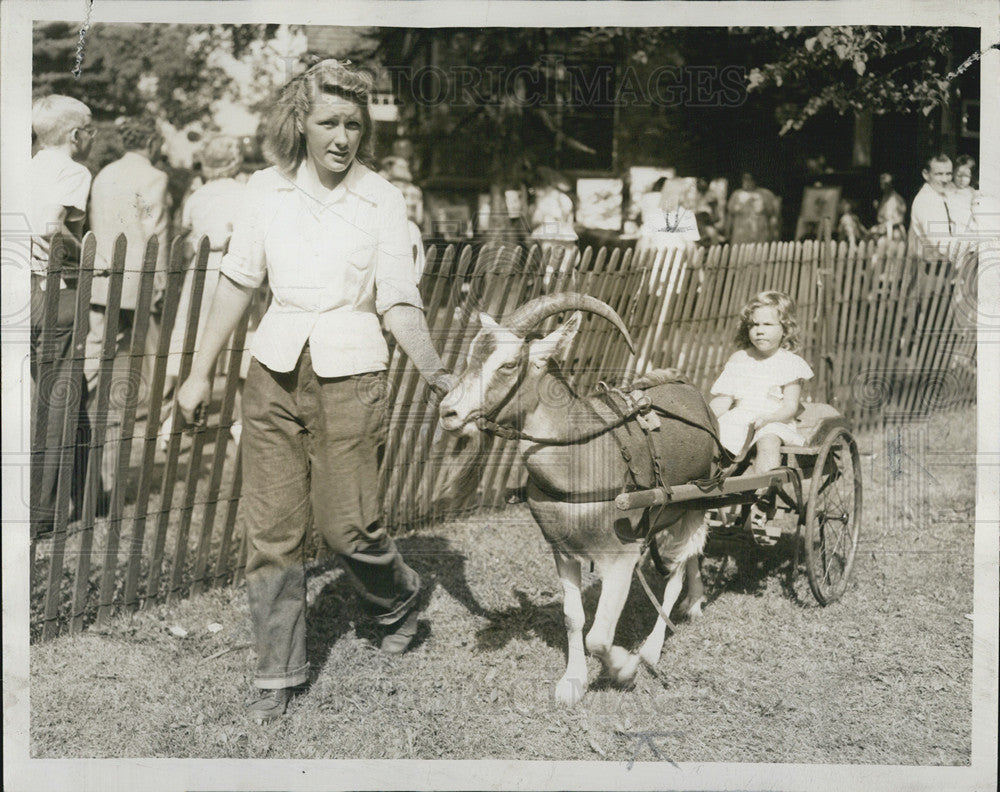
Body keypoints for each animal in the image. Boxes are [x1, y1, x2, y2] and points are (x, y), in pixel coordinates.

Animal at [442, 292, 716, 704]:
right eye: (472, 354)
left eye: (509, 364)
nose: (448, 411)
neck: (582, 459)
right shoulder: (563, 550)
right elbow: (574, 618)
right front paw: (572, 682)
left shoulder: (621, 554)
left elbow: (599, 636)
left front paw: (625, 670)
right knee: (690, 560)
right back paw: (695, 604)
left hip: (695, 503)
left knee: (678, 570)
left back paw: (653, 648)